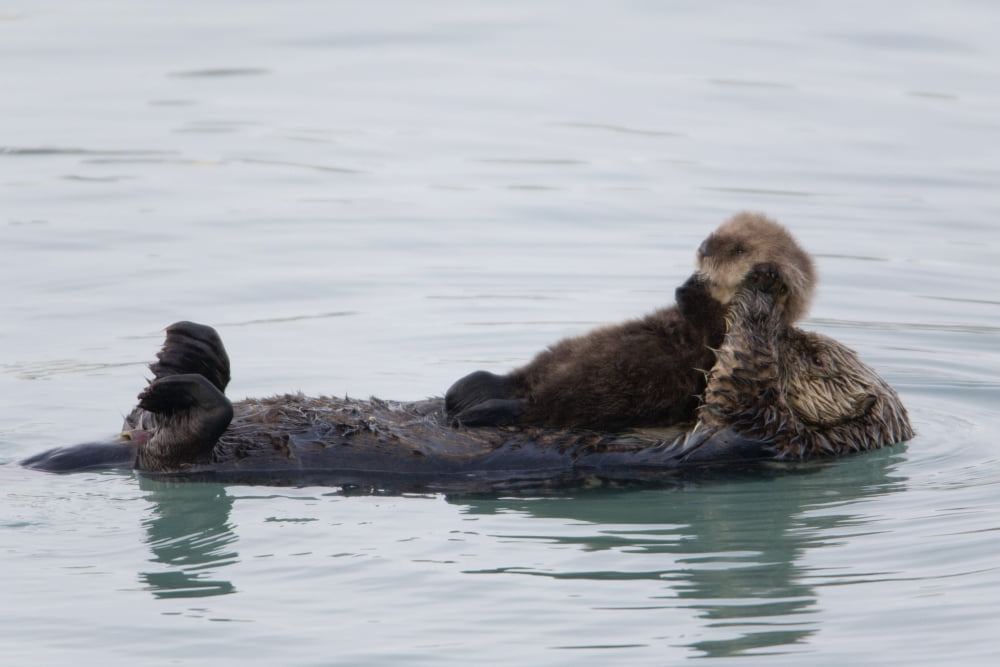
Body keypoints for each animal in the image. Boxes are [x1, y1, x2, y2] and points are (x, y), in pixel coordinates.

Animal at [20, 265, 910, 490]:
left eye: (818, 361)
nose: (801, 328)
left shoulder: (755, 434)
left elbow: (740, 385)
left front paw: (757, 304)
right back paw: (192, 348)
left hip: (187, 452)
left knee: (176, 443)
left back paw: (189, 384)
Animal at [445, 212, 816, 429]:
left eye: (739, 249)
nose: (704, 246)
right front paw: (688, 285)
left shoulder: (714, 337)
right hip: (566, 354)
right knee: (524, 377)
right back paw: (470, 388)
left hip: (618, 384)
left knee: (545, 406)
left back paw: (479, 409)